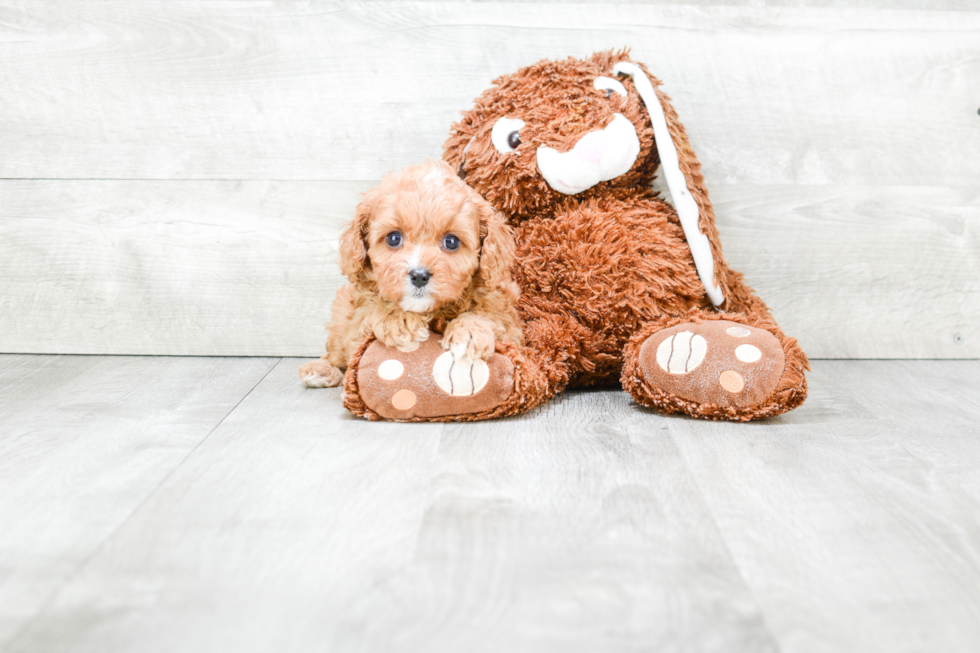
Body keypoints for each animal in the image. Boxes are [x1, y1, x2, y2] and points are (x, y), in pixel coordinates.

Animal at [298, 159, 524, 388]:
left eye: (451, 241)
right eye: (393, 238)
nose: (419, 276)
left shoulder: (508, 320)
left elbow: (490, 315)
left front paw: (469, 331)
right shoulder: (357, 319)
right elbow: (370, 312)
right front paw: (399, 318)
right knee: (336, 353)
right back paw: (321, 369)